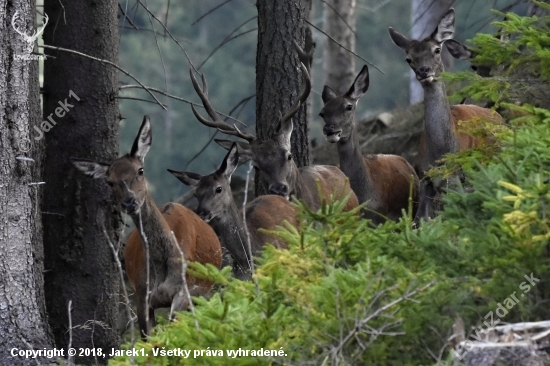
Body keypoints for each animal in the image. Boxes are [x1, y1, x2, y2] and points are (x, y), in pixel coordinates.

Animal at [71, 115, 222, 338]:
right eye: (109, 181)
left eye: (140, 170)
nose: (129, 202)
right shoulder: (142, 296)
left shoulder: (183, 293)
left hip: (203, 293)